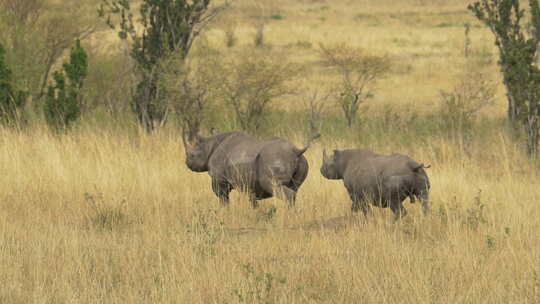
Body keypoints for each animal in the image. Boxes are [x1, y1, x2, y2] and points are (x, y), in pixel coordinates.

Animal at [184, 129, 318, 208]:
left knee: (277, 188)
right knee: (295, 189)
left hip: (274, 159)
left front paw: (224, 212)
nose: (187, 163)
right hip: (300, 162)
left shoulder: (219, 179)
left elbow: (223, 198)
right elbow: (253, 201)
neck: (209, 146)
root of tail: (296, 151)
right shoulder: (251, 184)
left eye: (193, 155)